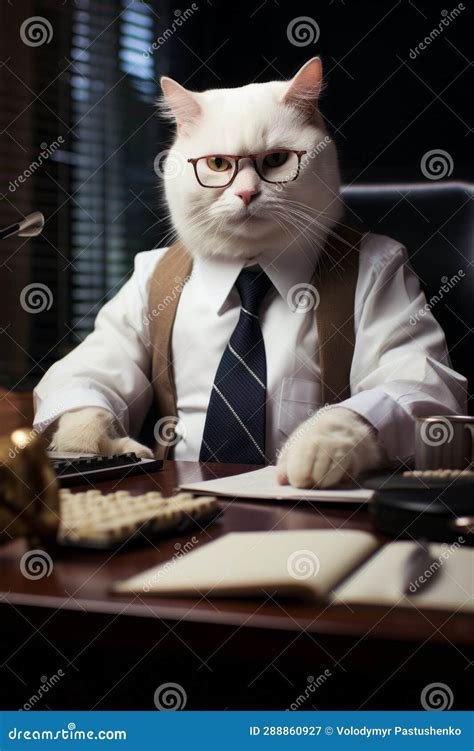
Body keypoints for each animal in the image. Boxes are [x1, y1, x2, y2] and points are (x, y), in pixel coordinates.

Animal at [47, 61, 396, 490]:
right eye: (218, 165)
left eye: (276, 160)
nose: (246, 194)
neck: (249, 271)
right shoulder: (110, 337)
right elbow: (85, 388)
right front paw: (106, 452)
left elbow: (368, 403)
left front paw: (313, 450)